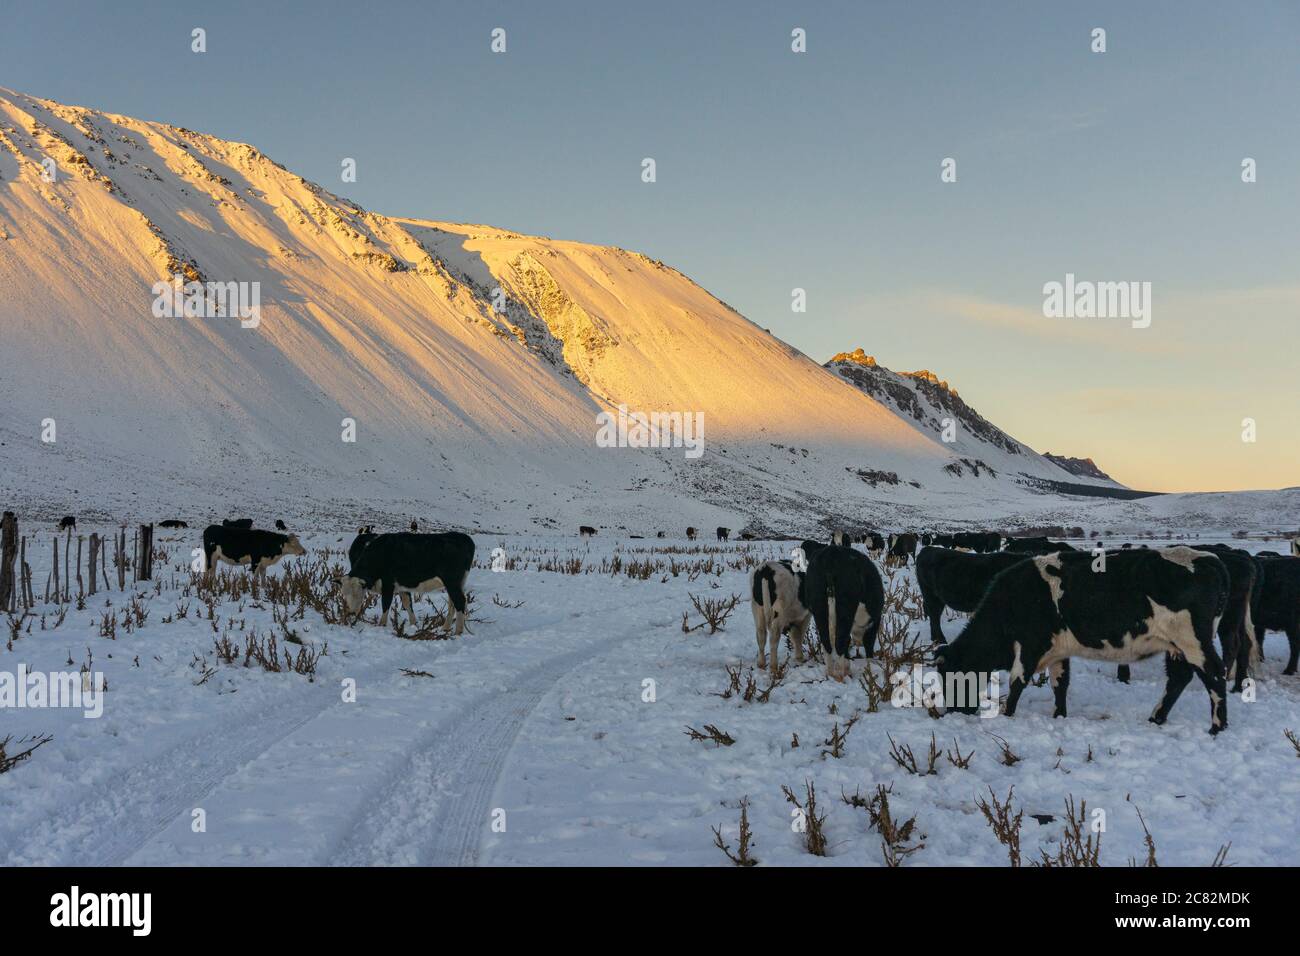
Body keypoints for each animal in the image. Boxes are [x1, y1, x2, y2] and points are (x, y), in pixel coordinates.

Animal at [340, 530, 478, 634]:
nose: (350, 612)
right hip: (456, 583)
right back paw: (445, 628)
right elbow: (408, 604)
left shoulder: (388, 584)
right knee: (453, 603)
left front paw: (381, 625)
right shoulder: (401, 586)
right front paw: (413, 625)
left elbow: (386, 605)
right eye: (344, 594)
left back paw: (458, 632)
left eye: (358, 593)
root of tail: (464, 538)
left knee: (460, 601)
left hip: (452, 581)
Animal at [806, 541, 889, 686]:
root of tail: (831, 554)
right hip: (845, 608)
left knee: (827, 642)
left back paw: (831, 674)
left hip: (819, 606)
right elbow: (869, 643)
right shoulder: (874, 620)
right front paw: (870, 670)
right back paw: (840, 677)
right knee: (840, 642)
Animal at [935, 546, 1227, 733]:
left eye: (953, 678)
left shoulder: (1030, 645)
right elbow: (1060, 683)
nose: (953, 711)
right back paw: (1156, 719)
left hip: (1192, 639)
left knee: (1213, 672)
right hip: (1176, 645)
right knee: (1179, 678)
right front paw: (1059, 716)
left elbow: (1018, 682)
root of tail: (1208, 559)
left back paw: (1216, 727)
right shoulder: (1058, 650)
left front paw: (1007, 716)